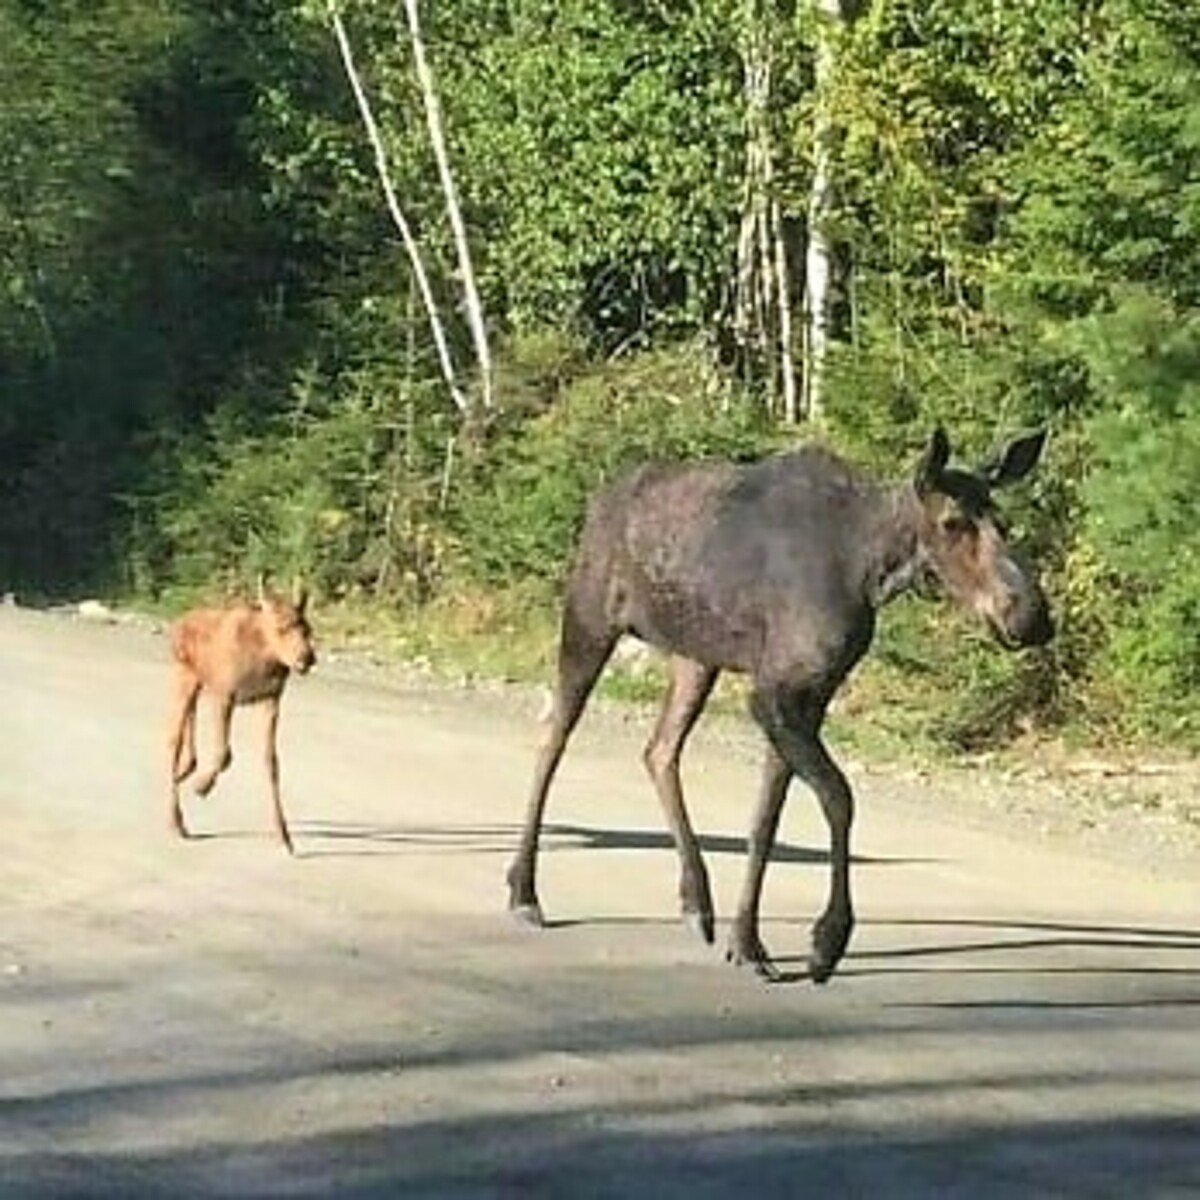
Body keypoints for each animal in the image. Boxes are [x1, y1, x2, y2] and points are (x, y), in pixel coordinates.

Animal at [166, 579, 316, 854]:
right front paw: (202, 787)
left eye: (308, 629)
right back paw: (177, 821)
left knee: (188, 732)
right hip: (184, 677)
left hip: (198, 684)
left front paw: (284, 836)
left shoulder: (271, 700)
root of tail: (177, 624)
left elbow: (271, 762)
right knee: (173, 740)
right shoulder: (225, 696)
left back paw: (185, 771)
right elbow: (224, 755)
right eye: (280, 628)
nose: (308, 658)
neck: (265, 658)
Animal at [507, 427, 1053, 983]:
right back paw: (525, 891)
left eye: (1002, 521)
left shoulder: (810, 696)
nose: (1033, 617)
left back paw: (696, 900)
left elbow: (765, 820)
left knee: (658, 750)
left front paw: (748, 942)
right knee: (554, 736)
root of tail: (599, 497)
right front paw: (827, 942)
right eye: (952, 522)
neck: (871, 570)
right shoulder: (774, 693)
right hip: (588, 619)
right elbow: (839, 798)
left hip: (695, 656)